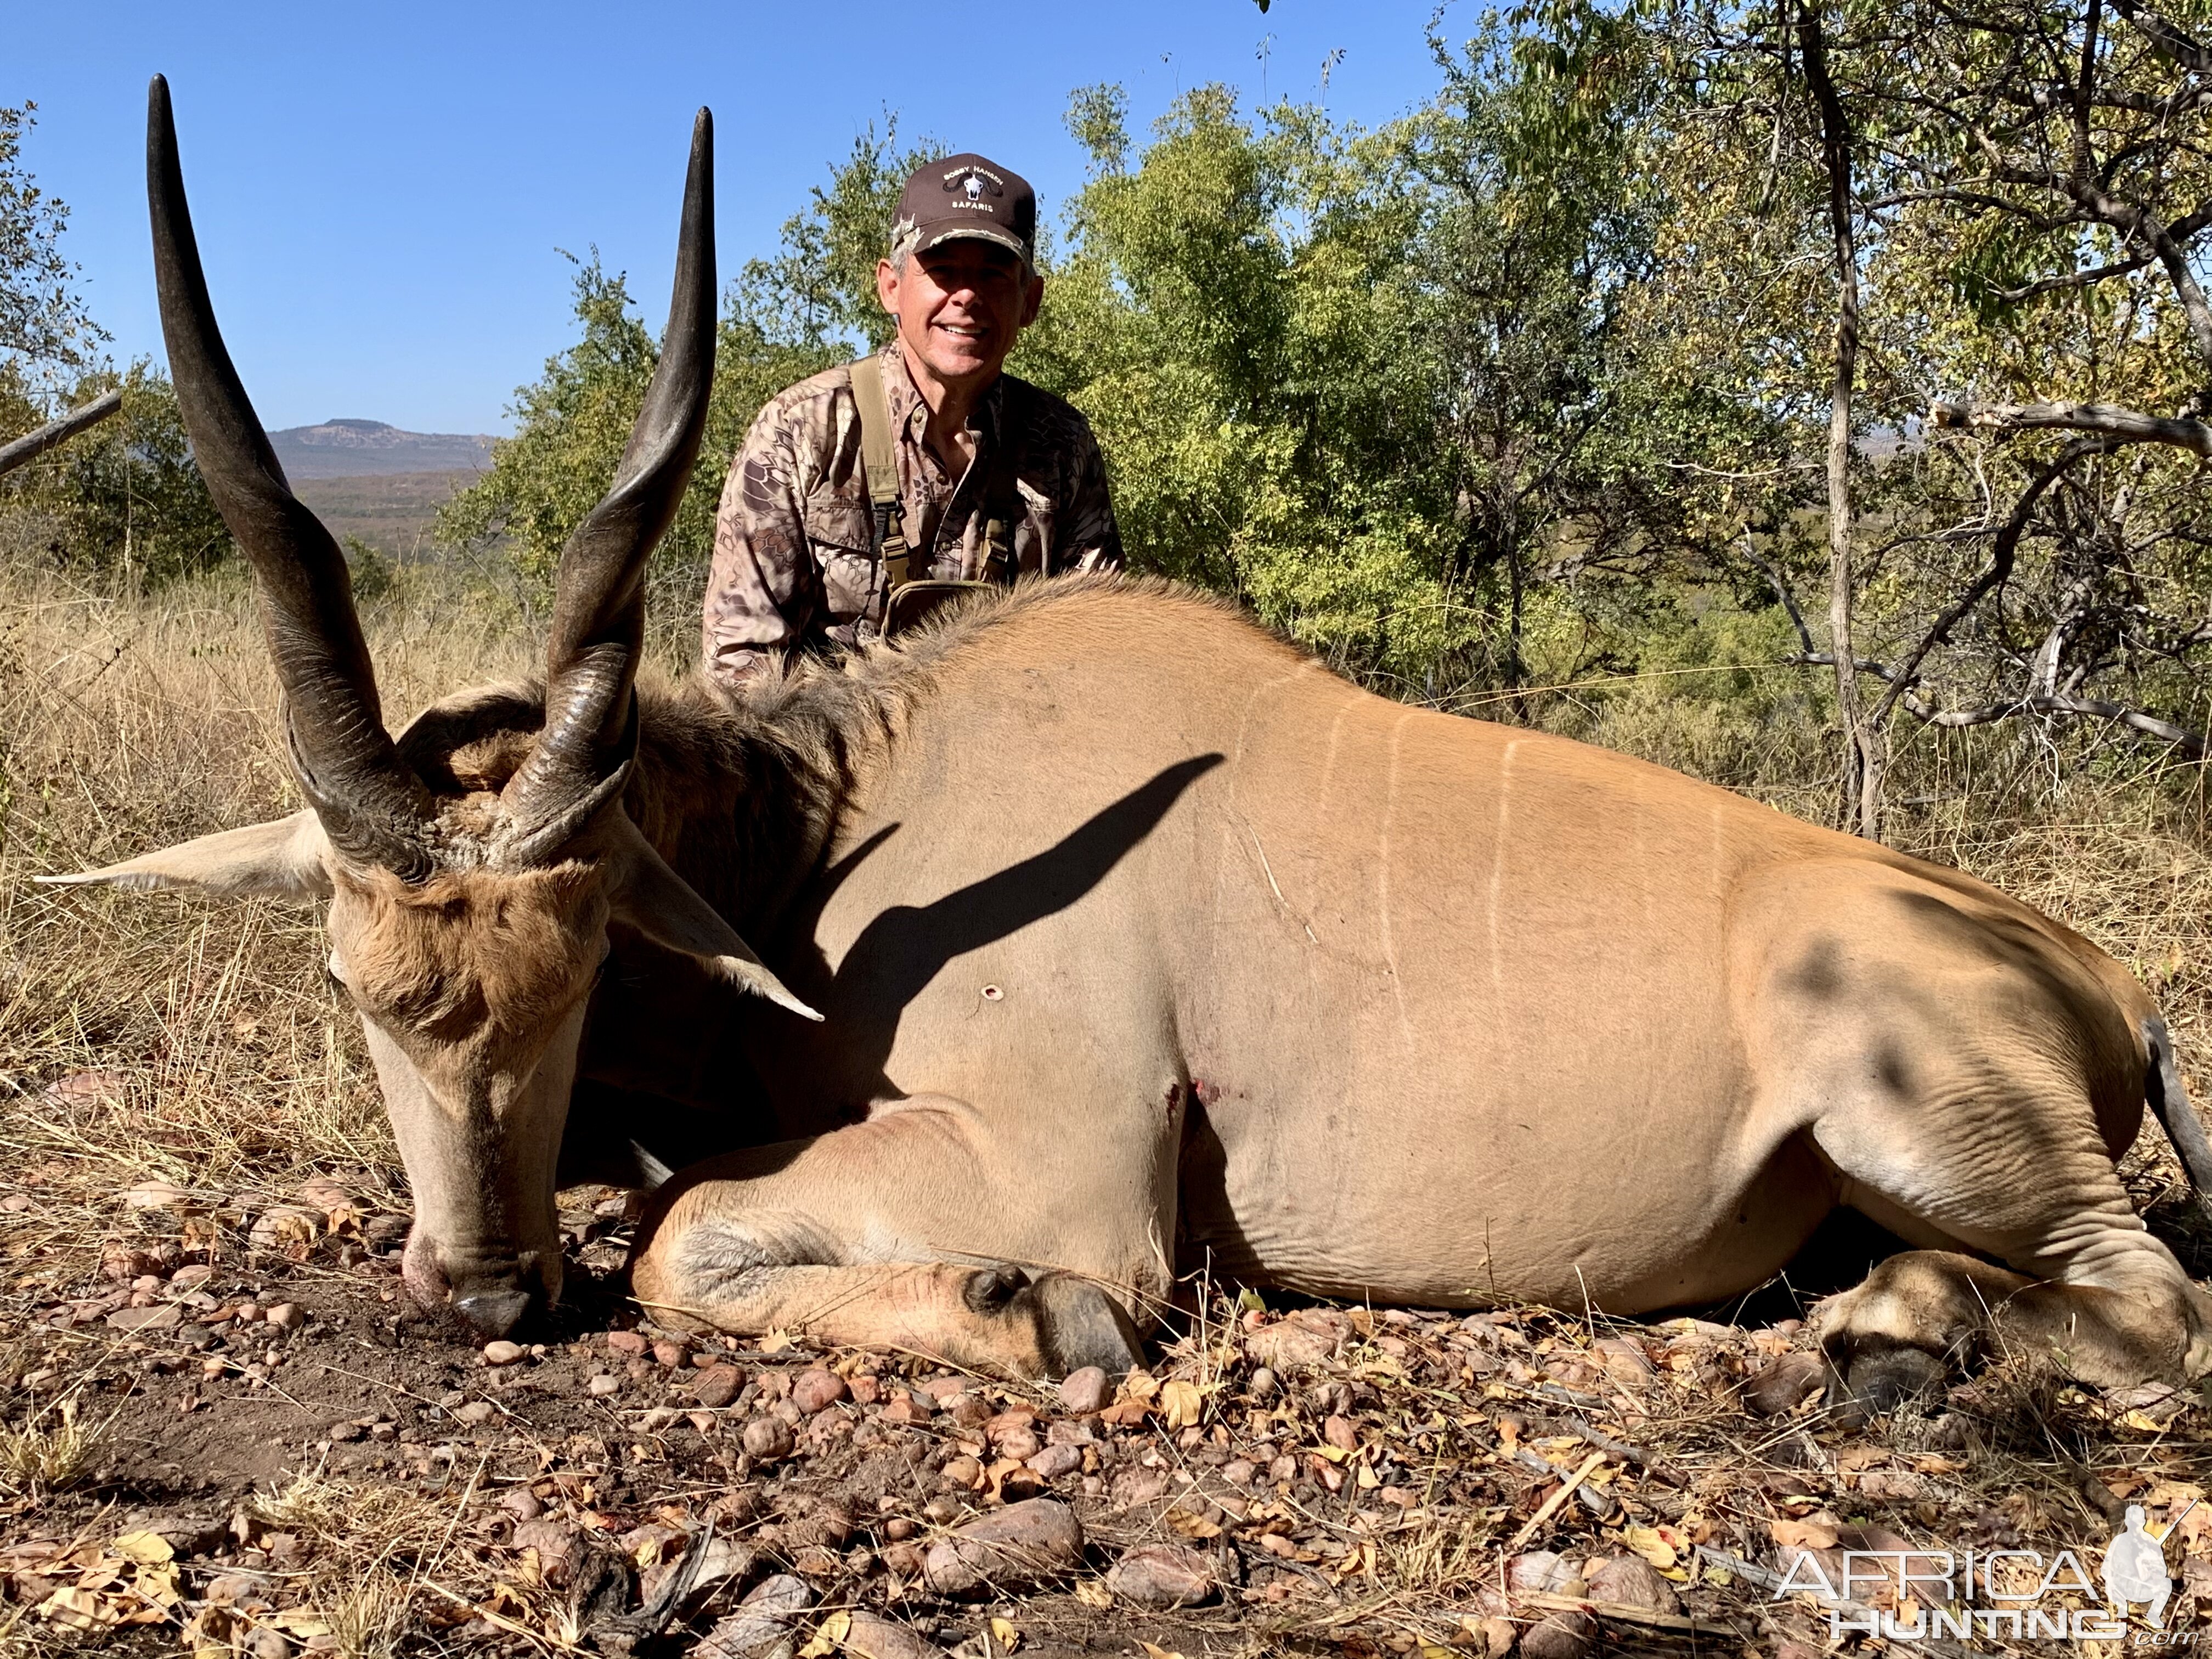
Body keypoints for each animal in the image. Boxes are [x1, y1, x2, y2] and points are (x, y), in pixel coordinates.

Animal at [47, 81, 2212, 1407]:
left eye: (581, 970)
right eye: (356, 984)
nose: (485, 1291)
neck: (835, 839)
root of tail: (2094, 971)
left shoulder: (1067, 1165)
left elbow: (680, 1236)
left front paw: (1038, 1317)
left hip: (1920, 1113)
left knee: (2149, 1297)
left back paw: (1890, 1336)